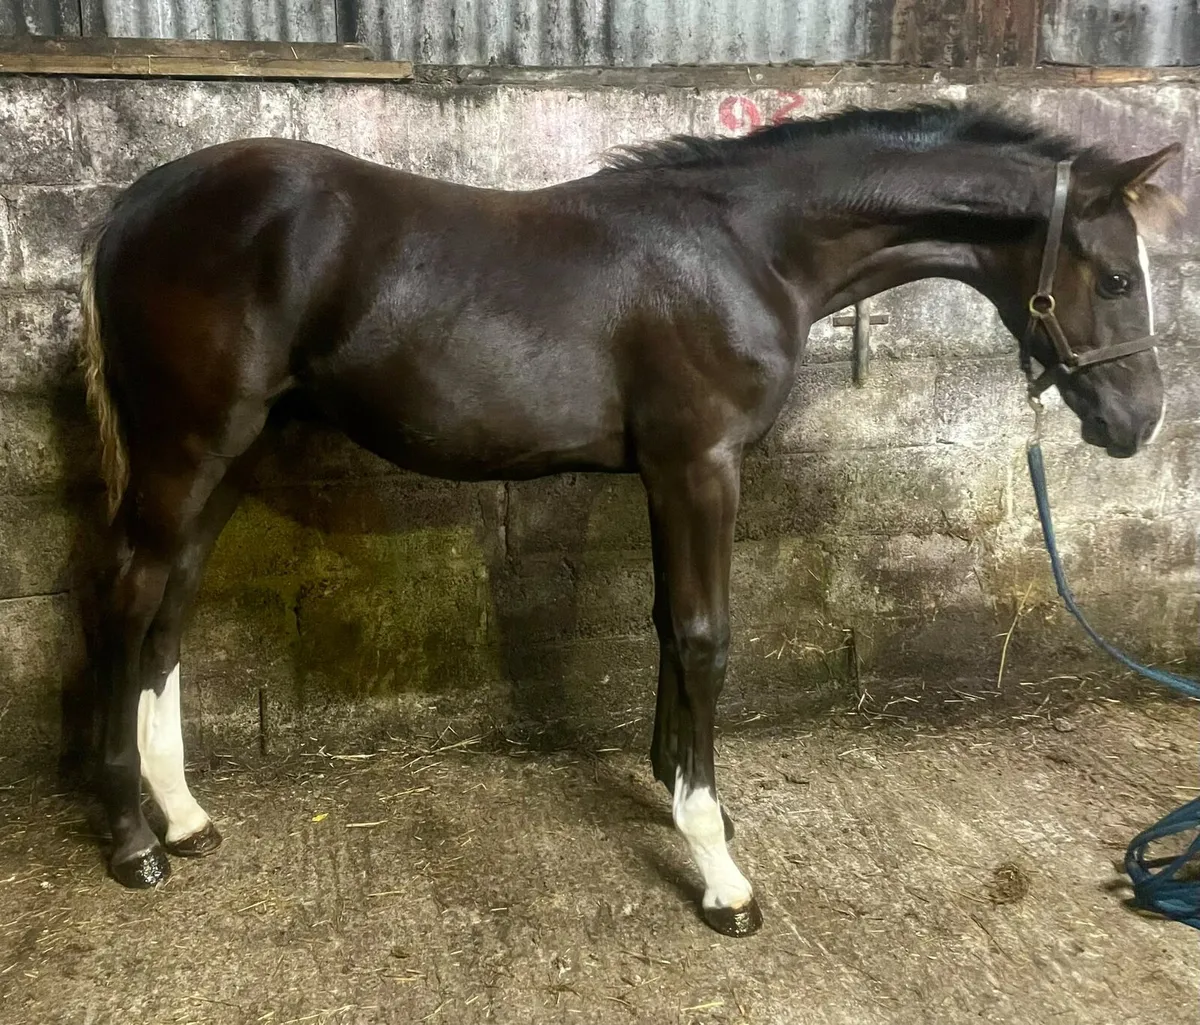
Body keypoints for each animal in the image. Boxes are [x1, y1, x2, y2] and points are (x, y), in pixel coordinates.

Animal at [76, 101, 1181, 937]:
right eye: (1118, 277)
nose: (1140, 421)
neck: (748, 250)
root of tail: (134, 206)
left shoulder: (663, 473)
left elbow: (664, 624)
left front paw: (678, 786)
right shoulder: (700, 466)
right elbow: (703, 636)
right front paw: (718, 865)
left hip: (234, 450)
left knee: (172, 602)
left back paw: (184, 817)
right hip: (187, 445)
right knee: (129, 597)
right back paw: (132, 841)